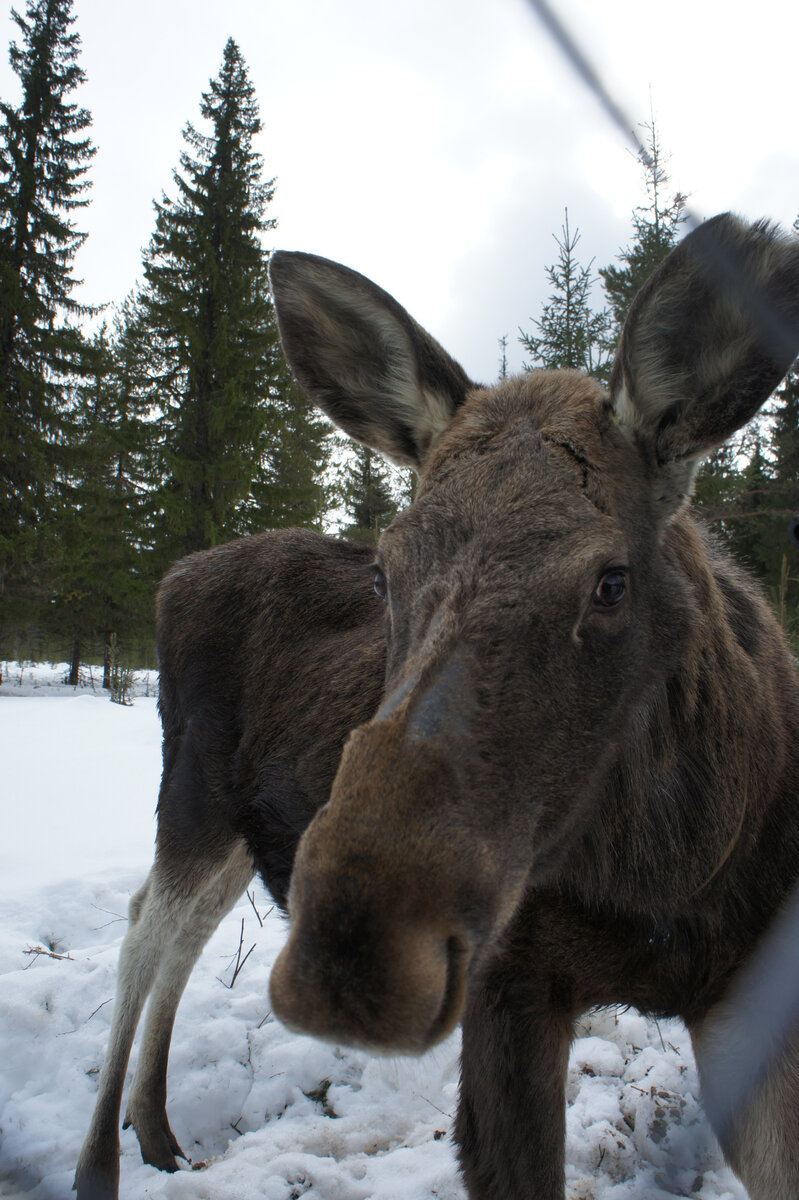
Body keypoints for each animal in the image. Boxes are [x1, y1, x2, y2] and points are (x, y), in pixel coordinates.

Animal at [77, 216, 796, 1200]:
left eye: (611, 580)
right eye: (384, 571)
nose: (352, 956)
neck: (674, 874)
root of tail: (171, 578)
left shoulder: (744, 990)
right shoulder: (510, 984)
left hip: (239, 825)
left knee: (182, 930)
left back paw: (156, 1130)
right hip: (190, 792)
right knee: (145, 929)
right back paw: (100, 1162)